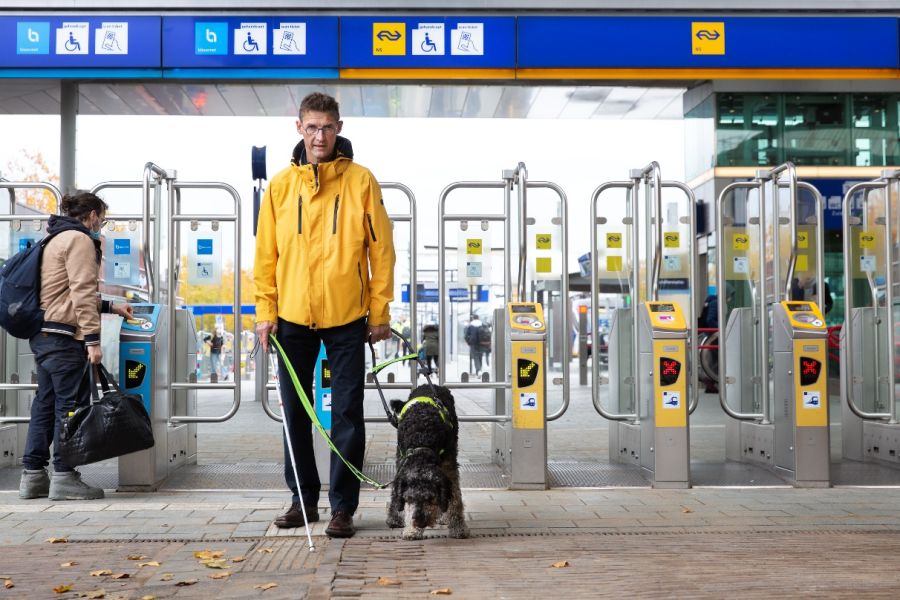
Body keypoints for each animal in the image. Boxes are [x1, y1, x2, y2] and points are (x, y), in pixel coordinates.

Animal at [386, 384, 472, 544]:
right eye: (409, 498)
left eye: (431, 498)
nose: (420, 523)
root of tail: (429, 385)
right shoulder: (402, 459)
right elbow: (397, 494)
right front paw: (411, 530)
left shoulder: (449, 466)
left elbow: (455, 498)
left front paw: (458, 528)